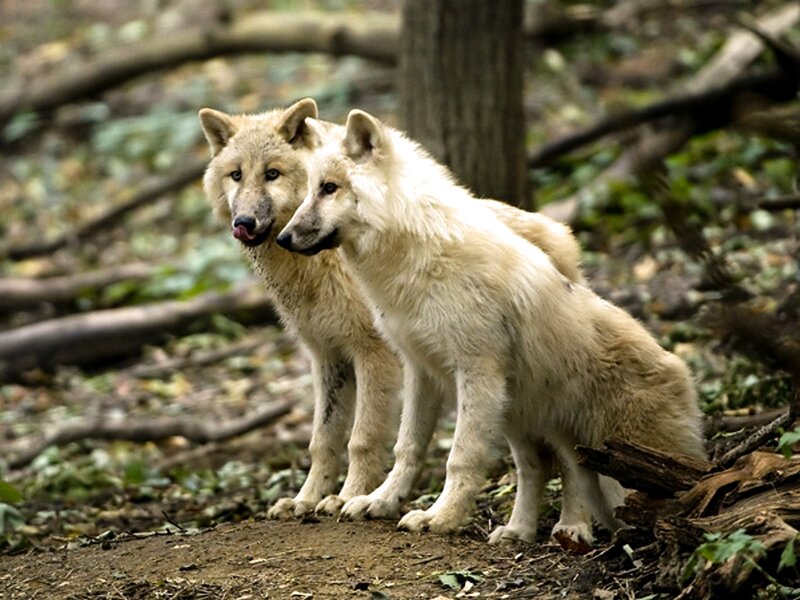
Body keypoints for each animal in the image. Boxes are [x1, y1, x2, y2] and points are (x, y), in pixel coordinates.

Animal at [198, 98, 586, 522]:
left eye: (272, 174)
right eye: (236, 175)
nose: (244, 222)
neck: (317, 270)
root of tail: (559, 231)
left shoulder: (373, 353)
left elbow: (361, 439)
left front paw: (344, 497)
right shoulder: (327, 356)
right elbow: (323, 440)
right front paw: (306, 500)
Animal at [277, 108, 707, 544]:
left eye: (329, 189)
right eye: (309, 190)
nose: (282, 237)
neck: (419, 256)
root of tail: (687, 377)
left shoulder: (476, 369)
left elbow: (460, 458)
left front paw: (441, 518)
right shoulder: (420, 370)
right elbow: (407, 447)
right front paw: (380, 502)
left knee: (576, 476)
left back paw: (573, 528)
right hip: (520, 415)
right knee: (539, 468)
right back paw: (519, 530)